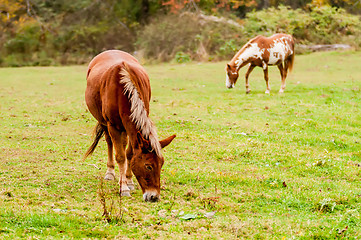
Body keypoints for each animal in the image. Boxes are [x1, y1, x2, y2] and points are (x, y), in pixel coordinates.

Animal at [83, 49, 176, 202]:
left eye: (161, 164)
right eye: (148, 166)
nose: (154, 196)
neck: (123, 88)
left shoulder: (132, 127)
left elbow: (130, 154)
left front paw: (129, 181)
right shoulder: (113, 126)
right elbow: (120, 156)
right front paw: (124, 187)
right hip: (105, 123)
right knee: (109, 142)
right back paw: (110, 172)